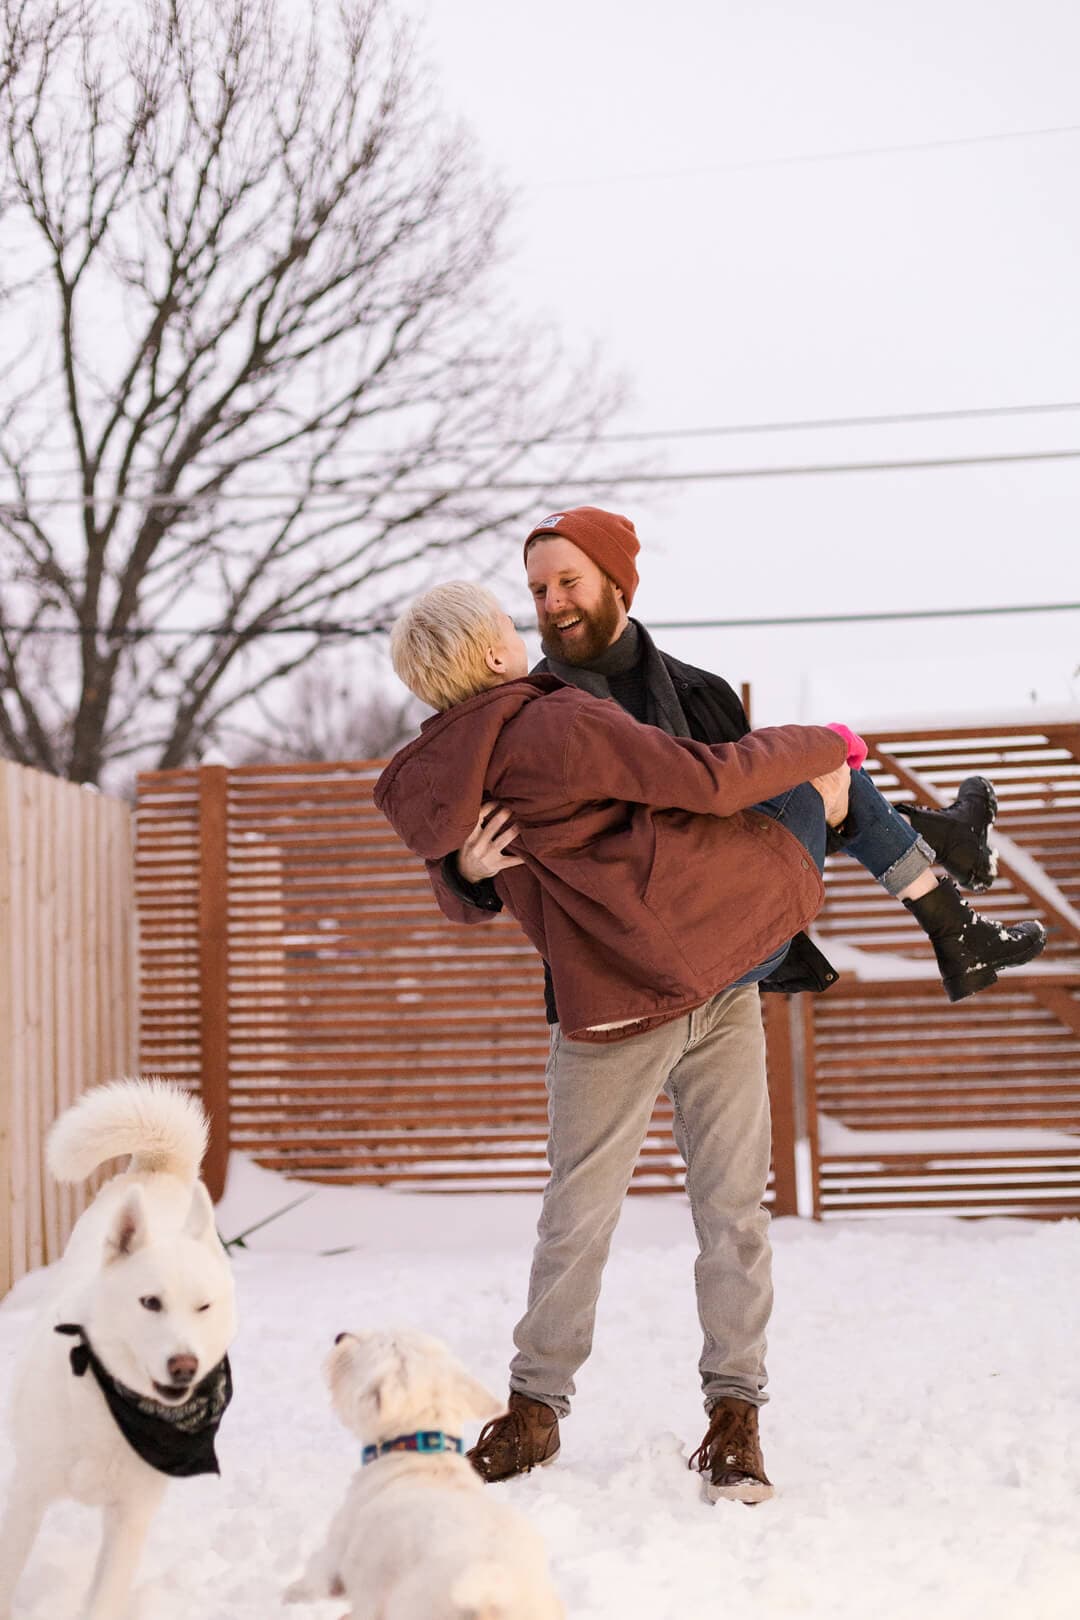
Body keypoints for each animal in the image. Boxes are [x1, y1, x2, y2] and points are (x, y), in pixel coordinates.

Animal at [0, 1075, 238, 1620]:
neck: (108, 1403)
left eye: (203, 1307)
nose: (184, 1365)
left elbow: (104, 1597)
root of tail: (158, 1169)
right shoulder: (25, 1495)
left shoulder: (129, 1519)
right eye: (150, 1302)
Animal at [284, 1328, 566, 1620]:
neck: (419, 1450)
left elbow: (315, 1578)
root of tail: (492, 1597)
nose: (340, 1336)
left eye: (370, 1344)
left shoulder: (337, 1551)